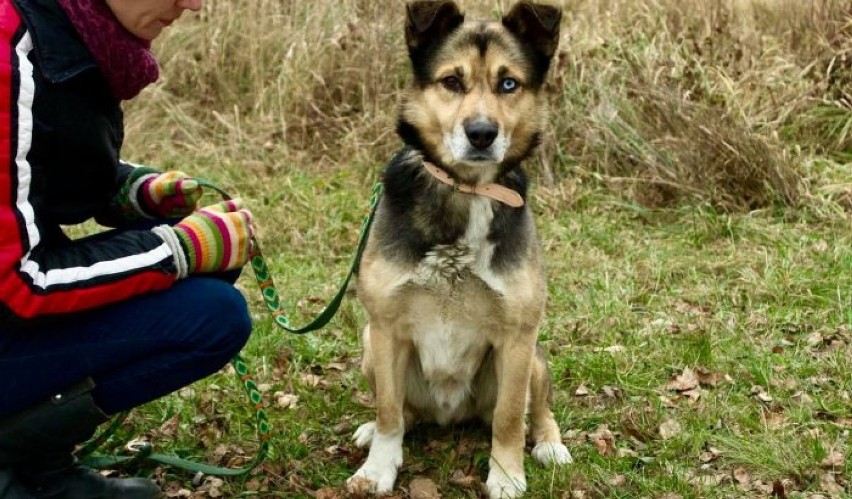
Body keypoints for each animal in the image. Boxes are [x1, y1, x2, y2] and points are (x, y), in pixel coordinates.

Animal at [346, 1, 572, 498]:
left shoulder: (517, 337)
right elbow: (389, 411)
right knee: (405, 412)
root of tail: (450, 415)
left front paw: (506, 475)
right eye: (452, 81)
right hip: (370, 345)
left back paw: (549, 443)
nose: (482, 133)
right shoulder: (385, 328)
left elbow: (509, 417)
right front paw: (378, 469)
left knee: (537, 409)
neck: (464, 191)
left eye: (508, 83)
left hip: (535, 357)